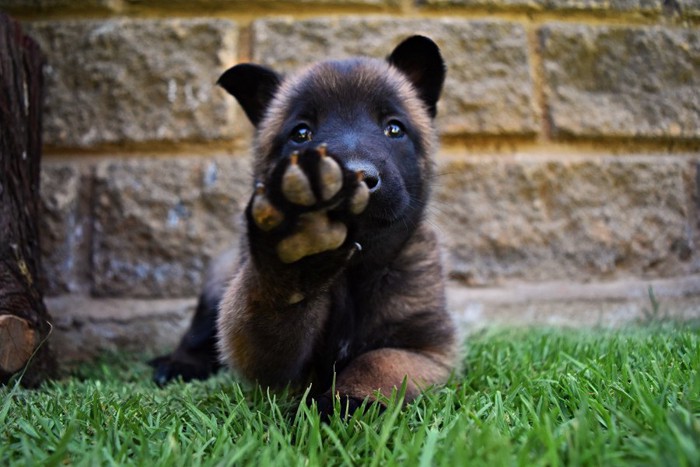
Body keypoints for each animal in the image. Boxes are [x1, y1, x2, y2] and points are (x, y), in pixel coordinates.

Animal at [152, 35, 456, 416]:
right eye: (301, 133)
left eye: (394, 128)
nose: (354, 177)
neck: (354, 271)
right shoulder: (275, 365)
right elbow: (274, 308)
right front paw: (298, 256)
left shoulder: (427, 351)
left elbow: (377, 362)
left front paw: (342, 402)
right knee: (197, 334)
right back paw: (176, 364)